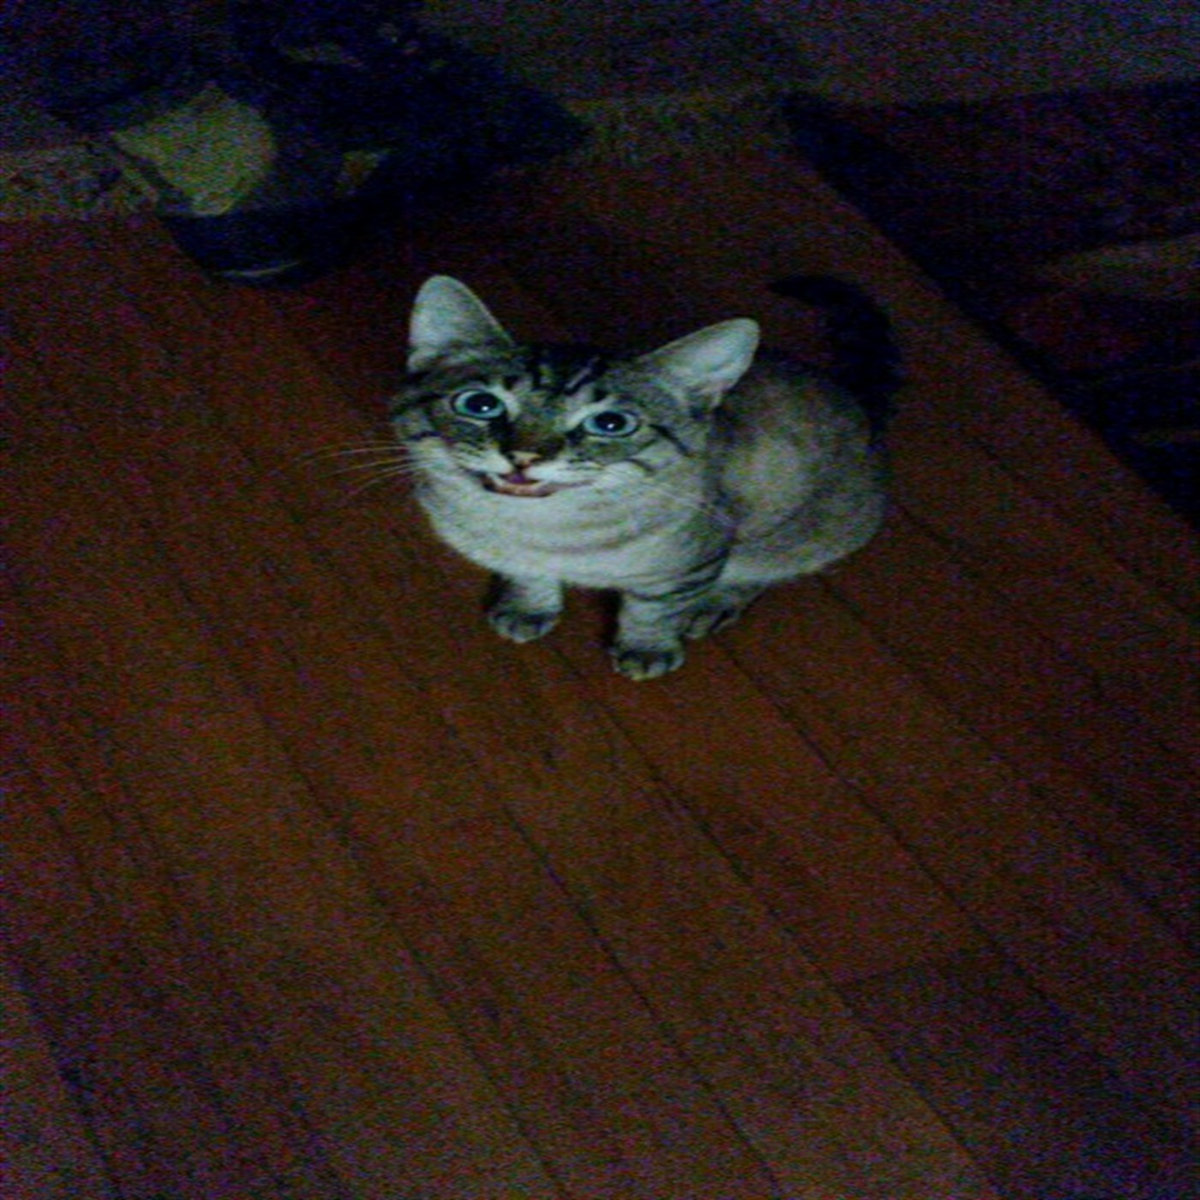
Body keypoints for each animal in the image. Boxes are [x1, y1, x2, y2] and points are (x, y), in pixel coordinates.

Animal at [389, 273, 900, 679]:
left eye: (611, 424)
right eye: (480, 404)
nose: (524, 456)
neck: (539, 533)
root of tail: (857, 401)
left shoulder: (689, 566)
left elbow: (652, 613)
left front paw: (646, 650)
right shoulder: (510, 556)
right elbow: (527, 578)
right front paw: (525, 610)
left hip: (789, 538)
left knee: (759, 573)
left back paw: (712, 607)